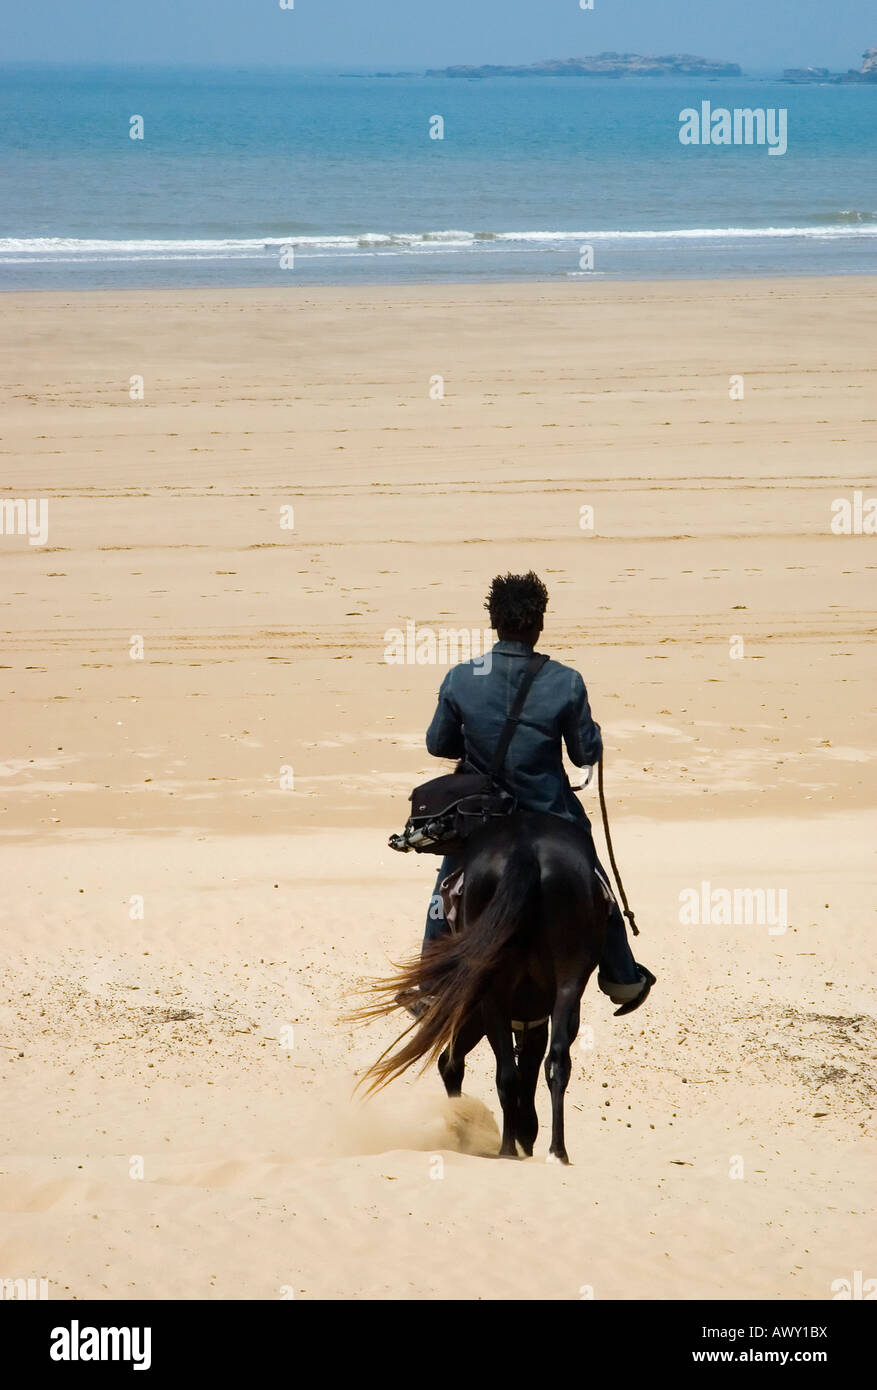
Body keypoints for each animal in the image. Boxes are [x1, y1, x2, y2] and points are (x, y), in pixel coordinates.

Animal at [355, 811, 611, 1167]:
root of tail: (525, 851)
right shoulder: (534, 1019)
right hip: (566, 988)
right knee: (552, 1063)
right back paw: (554, 1151)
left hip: (490, 998)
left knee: (487, 1070)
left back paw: (504, 1147)